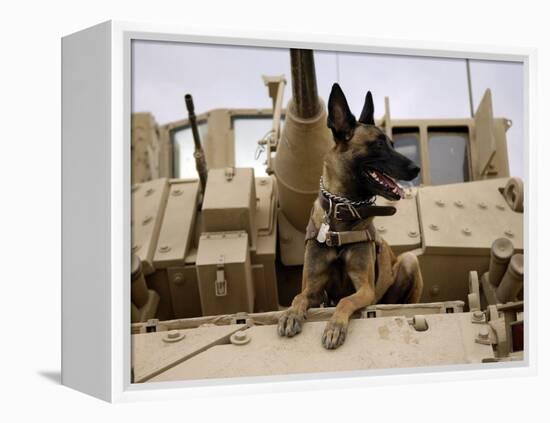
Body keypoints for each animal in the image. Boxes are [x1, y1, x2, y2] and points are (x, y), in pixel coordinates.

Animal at [278, 83, 424, 352]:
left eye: (391, 143)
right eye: (378, 144)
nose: (415, 168)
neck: (342, 212)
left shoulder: (364, 289)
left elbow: (344, 301)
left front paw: (335, 327)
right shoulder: (313, 289)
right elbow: (299, 296)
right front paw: (291, 314)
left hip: (409, 261)